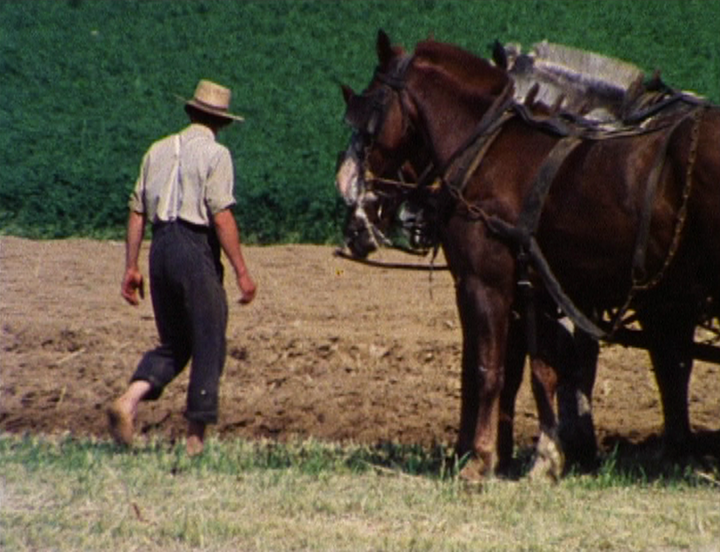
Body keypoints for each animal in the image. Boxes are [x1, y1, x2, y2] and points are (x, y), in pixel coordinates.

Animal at [335, 31, 720, 480]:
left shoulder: (487, 283)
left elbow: (489, 369)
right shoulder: (540, 290)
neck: (490, 149)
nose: (348, 192)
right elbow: (543, 369)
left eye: (365, 114)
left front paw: (481, 459)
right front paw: (545, 456)